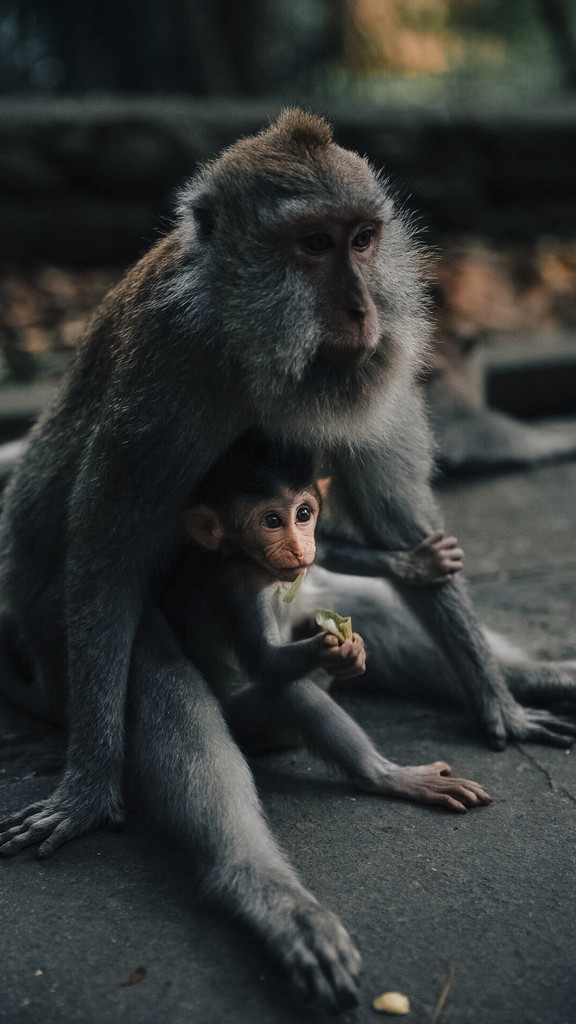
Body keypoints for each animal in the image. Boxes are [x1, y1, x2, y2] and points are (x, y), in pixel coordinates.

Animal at [1, 108, 575, 1011]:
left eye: (364, 240)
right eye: (312, 245)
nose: (361, 306)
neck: (249, 347)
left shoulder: (376, 376)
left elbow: (400, 522)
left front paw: (500, 702)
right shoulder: (164, 384)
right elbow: (105, 560)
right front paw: (89, 784)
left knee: (361, 611)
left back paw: (533, 679)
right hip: (61, 656)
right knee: (162, 685)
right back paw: (267, 894)